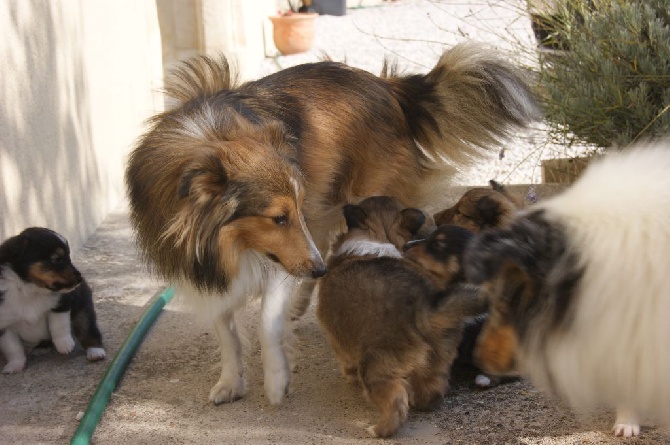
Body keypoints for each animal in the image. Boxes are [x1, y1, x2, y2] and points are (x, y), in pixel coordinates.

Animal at [126, 42, 544, 406]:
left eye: (290, 212)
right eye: (277, 217)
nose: (317, 271)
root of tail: (387, 85)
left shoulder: (286, 250)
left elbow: (266, 321)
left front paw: (276, 380)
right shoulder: (203, 266)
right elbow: (226, 330)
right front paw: (230, 381)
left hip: (366, 196)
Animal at [318, 196, 486, 436]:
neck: (377, 238)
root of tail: (424, 309)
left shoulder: (338, 339)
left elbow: (345, 359)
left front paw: (348, 375)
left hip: (377, 367)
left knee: (395, 401)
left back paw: (379, 430)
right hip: (438, 359)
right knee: (431, 391)